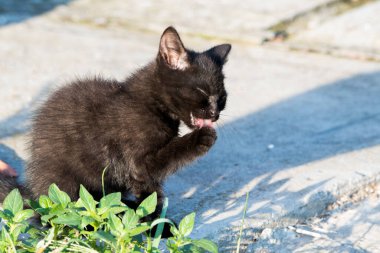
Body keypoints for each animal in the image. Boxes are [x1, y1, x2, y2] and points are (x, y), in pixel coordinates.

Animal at [2, 27, 230, 213]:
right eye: (202, 92)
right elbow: (156, 182)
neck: (151, 103)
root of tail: (33, 193)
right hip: (64, 182)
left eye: (222, 97)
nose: (214, 113)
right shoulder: (137, 162)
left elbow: (152, 192)